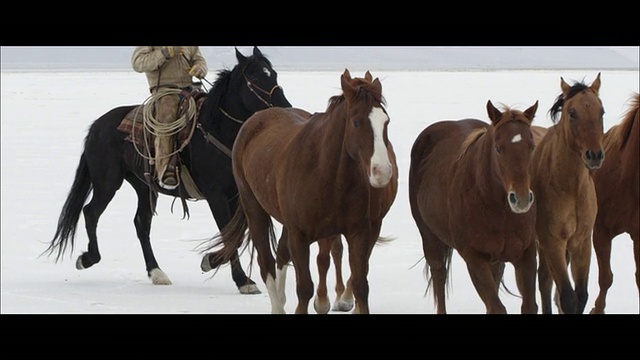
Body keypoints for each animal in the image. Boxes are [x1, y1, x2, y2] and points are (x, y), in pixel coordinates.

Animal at [45, 46, 292, 294]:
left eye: (273, 74)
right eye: (254, 78)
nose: (285, 107)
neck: (217, 129)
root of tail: (97, 126)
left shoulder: (237, 195)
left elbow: (237, 234)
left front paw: (212, 263)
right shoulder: (216, 196)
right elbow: (229, 235)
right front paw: (242, 280)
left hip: (144, 187)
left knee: (141, 224)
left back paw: (157, 273)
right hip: (108, 182)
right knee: (91, 213)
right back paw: (87, 259)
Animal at [205, 69, 398, 312]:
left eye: (386, 121)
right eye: (356, 122)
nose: (382, 171)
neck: (328, 175)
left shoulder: (359, 232)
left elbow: (360, 285)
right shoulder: (299, 235)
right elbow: (305, 287)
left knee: (281, 254)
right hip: (254, 208)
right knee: (266, 262)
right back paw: (277, 305)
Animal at [410, 100, 540, 314]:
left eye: (532, 146)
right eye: (498, 148)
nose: (520, 199)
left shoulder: (526, 254)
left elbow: (528, 305)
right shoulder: (475, 259)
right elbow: (496, 307)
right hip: (430, 239)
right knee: (439, 277)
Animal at [528, 71, 604, 314]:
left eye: (601, 111)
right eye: (572, 113)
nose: (594, 155)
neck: (570, 189)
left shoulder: (581, 243)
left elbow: (581, 296)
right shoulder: (553, 242)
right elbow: (568, 297)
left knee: (544, 280)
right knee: (544, 282)